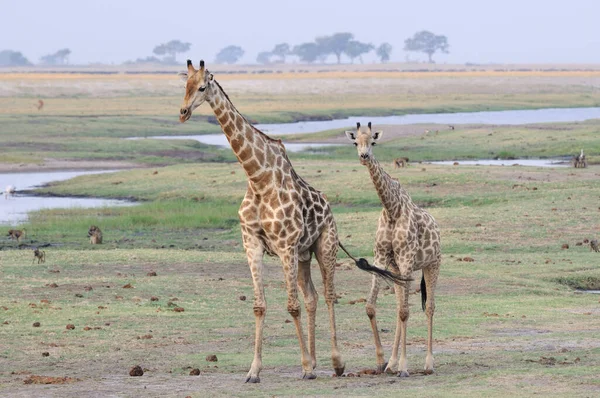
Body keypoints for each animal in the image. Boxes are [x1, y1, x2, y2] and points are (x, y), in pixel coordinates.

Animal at [178, 60, 404, 384]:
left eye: (202, 87)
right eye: (183, 85)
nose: (183, 112)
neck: (257, 178)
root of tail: (330, 208)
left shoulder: (284, 246)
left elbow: (292, 306)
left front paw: (307, 367)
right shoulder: (252, 244)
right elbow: (260, 306)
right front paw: (254, 370)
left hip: (324, 247)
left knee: (329, 295)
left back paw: (335, 362)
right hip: (303, 255)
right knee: (312, 297)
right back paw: (315, 359)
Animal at [346, 123, 440, 378]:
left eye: (373, 142)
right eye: (355, 142)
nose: (364, 156)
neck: (391, 208)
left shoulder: (407, 259)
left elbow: (406, 312)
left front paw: (405, 367)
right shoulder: (382, 258)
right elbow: (371, 306)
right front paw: (383, 362)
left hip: (433, 264)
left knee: (429, 308)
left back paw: (428, 364)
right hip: (398, 269)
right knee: (400, 307)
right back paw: (392, 363)